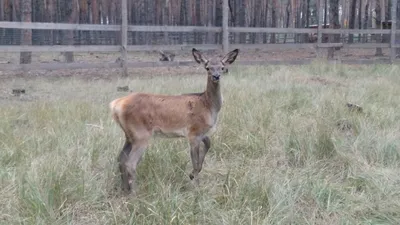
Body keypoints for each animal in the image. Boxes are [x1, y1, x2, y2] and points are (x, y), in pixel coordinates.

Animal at [109, 48, 239, 195]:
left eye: (222, 67)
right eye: (207, 67)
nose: (216, 76)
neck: (208, 106)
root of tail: (116, 105)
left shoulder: (201, 132)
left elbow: (208, 145)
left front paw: (192, 175)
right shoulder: (193, 131)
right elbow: (195, 162)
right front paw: (196, 186)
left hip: (129, 135)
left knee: (121, 158)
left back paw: (124, 189)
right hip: (140, 133)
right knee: (130, 163)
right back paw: (134, 193)